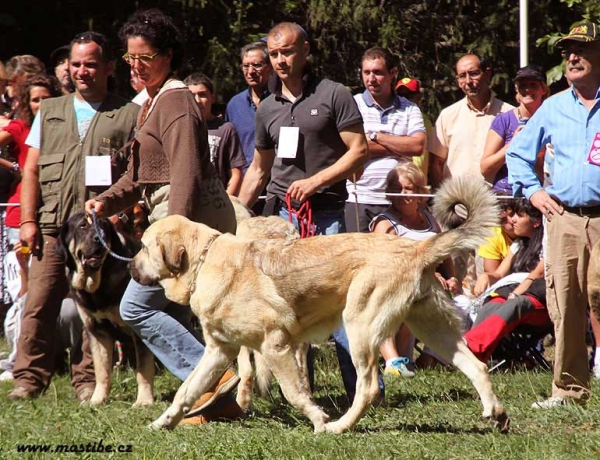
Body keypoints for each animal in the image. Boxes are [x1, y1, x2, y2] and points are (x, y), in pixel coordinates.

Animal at [56, 212, 155, 406]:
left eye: (103, 227)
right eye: (82, 226)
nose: (97, 238)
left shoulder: (139, 328)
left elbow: (143, 369)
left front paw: (144, 401)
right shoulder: (98, 331)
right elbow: (101, 371)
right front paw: (97, 399)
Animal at [132, 178, 510, 434]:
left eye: (145, 247)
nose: (130, 267)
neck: (205, 261)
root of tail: (417, 249)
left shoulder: (275, 346)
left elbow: (295, 392)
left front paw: (318, 419)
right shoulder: (219, 351)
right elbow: (185, 392)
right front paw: (162, 423)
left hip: (359, 328)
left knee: (367, 387)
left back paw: (339, 427)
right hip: (433, 331)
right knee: (477, 366)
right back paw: (498, 415)